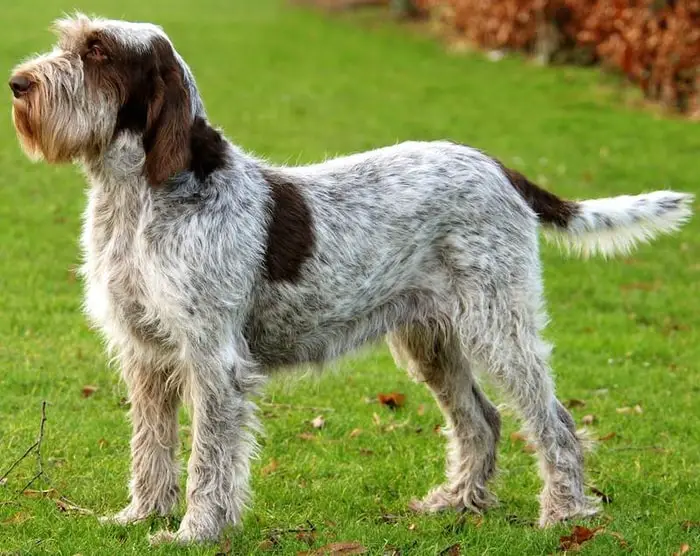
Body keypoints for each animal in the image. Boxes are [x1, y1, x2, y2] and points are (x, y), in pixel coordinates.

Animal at [10, 11, 696, 544]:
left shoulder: (213, 360)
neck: (138, 199)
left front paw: (195, 531)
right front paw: (141, 517)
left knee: (554, 421)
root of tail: (498, 167)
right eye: (69, 42)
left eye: (97, 52)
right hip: (431, 340)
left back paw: (564, 515)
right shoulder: (146, 354)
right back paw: (458, 503)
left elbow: (208, 458)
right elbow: (150, 447)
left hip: (498, 325)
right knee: (481, 420)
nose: (18, 83)